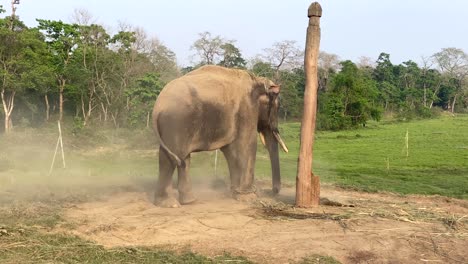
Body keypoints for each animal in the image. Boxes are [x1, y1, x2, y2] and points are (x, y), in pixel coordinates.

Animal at [152, 65, 288, 207]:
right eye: (277, 107)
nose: (273, 192)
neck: (256, 79)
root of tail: (158, 105)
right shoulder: (247, 109)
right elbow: (246, 145)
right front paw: (249, 198)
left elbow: (231, 151)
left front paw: (236, 193)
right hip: (176, 121)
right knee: (174, 158)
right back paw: (170, 203)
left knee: (177, 158)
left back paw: (187, 201)